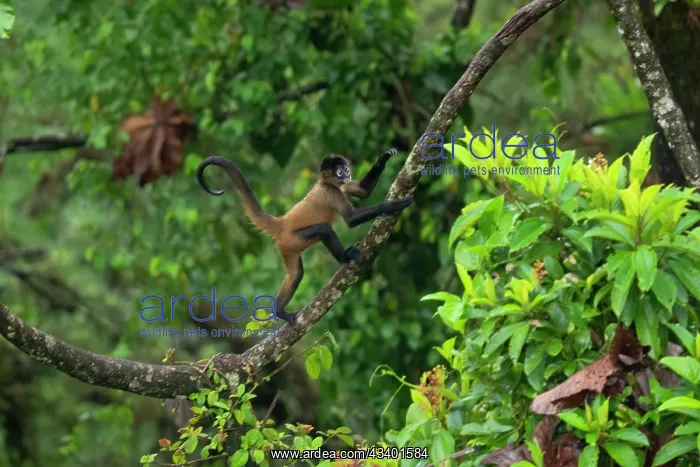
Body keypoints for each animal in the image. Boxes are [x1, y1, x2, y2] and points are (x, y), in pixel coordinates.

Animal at [196, 148, 413, 325]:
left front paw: (383, 158)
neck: (326, 183)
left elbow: (363, 191)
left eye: (344, 168)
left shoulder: (341, 187)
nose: (347, 173)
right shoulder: (332, 192)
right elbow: (351, 219)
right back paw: (344, 257)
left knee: (295, 274)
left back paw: (279, 312)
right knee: (324, 229)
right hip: (293, 239)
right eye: (339, 171)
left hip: (288, 247)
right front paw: (393, 205)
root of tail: (283, 222)